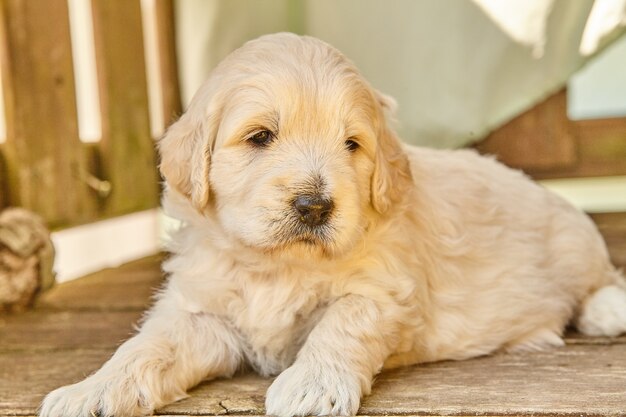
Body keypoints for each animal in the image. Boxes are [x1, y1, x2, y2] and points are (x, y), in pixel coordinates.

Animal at [41, 34, 620, 416]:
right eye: (260, 137)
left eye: (352, 145)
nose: (315, 206)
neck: (277, 266)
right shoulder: (203, 315)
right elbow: (147, 348)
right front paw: (91, 390)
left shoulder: (384, 291)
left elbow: (341, 325)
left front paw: (311, 387)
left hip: (575, 239)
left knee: (602, 277)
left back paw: (608, 310)